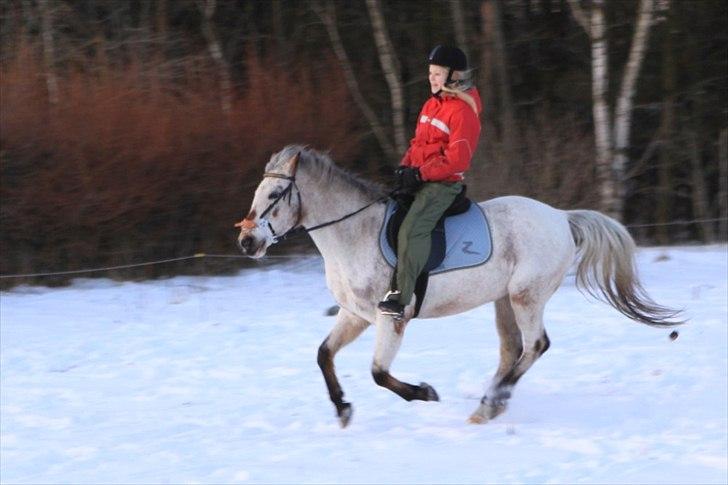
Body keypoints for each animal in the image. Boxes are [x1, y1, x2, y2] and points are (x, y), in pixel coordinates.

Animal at [235, 145, 684, 428]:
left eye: (275, 193)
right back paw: (489, 406)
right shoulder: (355, 315)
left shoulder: (391, 318)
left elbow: (379, 373)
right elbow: (324, 355)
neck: (353, 234)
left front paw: (426, 393)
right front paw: (343, 410)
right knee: (513, 351)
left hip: (526, 296)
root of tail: (561, 217)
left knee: (536, 345)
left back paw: (493, 401)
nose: (247, 242)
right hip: (503, 301)